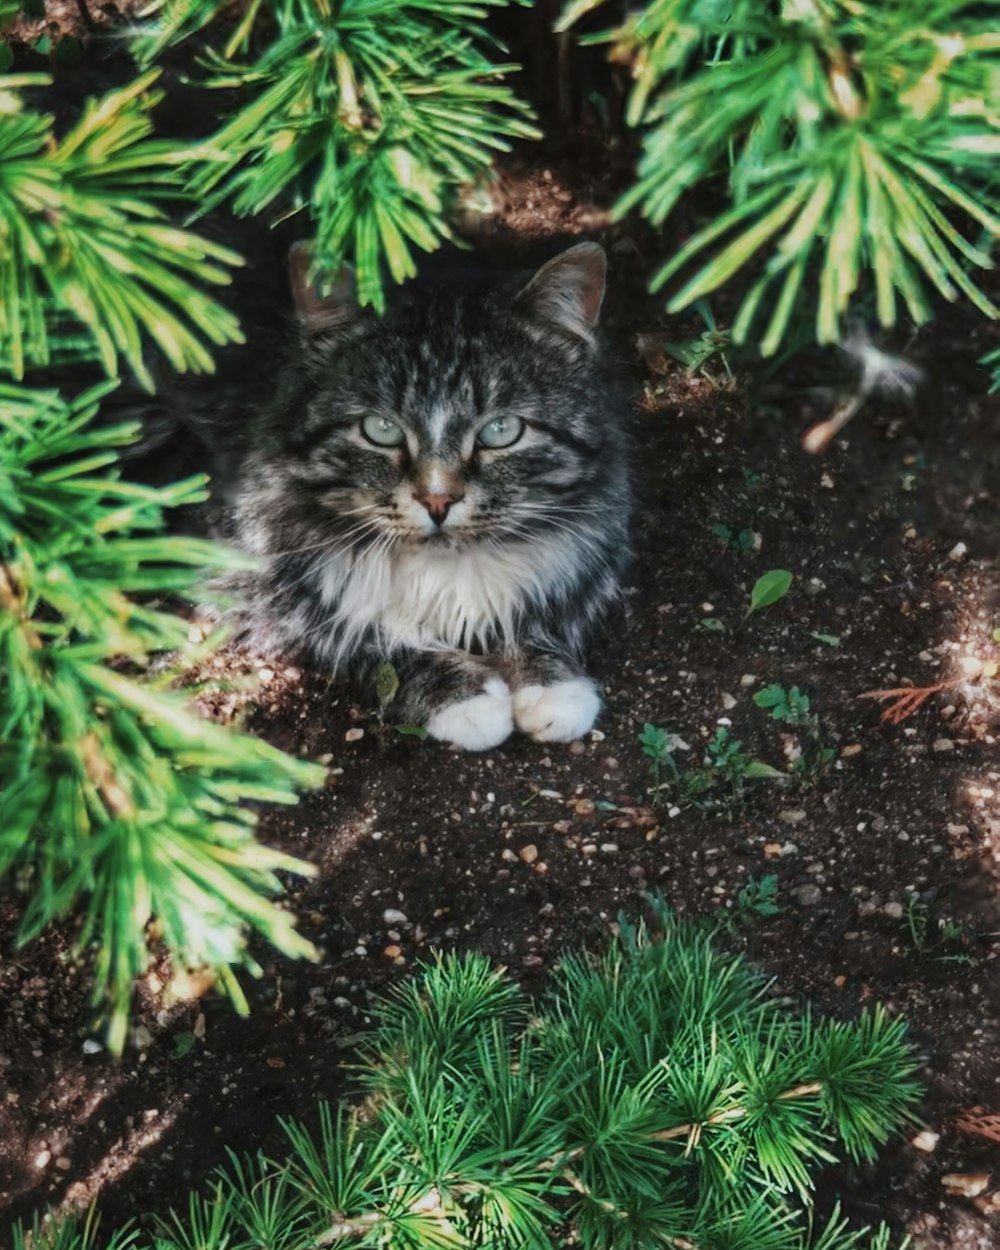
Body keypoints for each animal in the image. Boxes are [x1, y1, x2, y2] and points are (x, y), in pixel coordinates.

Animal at [232, 241, 632, 750]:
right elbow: (361, 632)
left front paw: (551, 686)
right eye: (381, 429)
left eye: (501, 430)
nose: (437, 501)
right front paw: (463, 696)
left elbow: (525, 611)